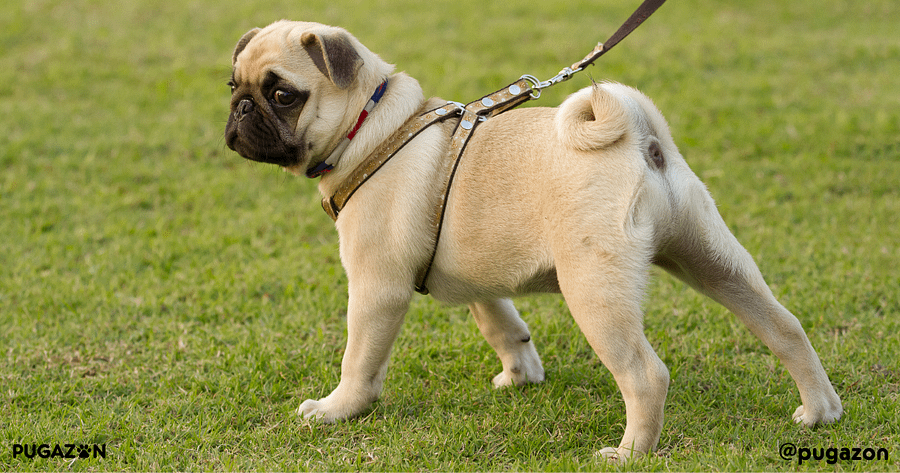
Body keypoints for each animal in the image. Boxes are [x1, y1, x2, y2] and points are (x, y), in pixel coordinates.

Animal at [225, 20, 844, 460]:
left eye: (283, 95)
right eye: (234, 85)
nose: (240, 109)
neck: (372, 127)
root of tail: (639, 137)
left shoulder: (377, 287)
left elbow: (360, 360)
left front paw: (338, 409)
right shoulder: (473, 275)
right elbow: (500, 321)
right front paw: (521, 373)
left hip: (594, 289)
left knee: (646, 375)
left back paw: (629, 453)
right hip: (712, 256)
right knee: (784, 326)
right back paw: (820, 412)